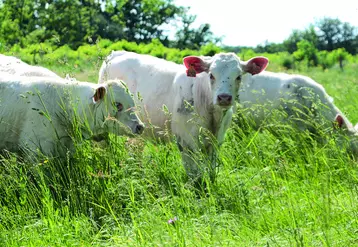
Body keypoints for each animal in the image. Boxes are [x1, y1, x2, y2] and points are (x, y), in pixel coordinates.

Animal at [98, 50, 268, 179]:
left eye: (238, 76)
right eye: (211, 75)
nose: (224, 97)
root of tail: (117, 53)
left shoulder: (216, 142)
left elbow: (211, 171)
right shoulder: (185, 141)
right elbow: (194, 175)